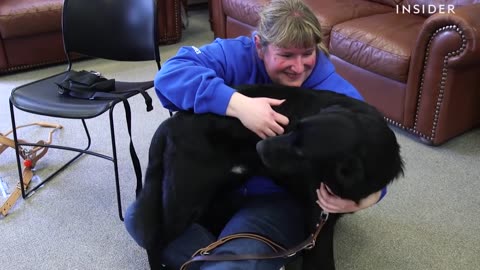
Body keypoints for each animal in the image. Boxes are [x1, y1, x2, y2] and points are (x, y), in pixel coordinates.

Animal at [129, 84, 404, 268]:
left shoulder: (328, 215)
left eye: (302, 151)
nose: (259, 147)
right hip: (186, 199)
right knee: (154, 240)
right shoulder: (317, 219)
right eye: (293, 128)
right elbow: (322, 261)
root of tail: (170, 124)